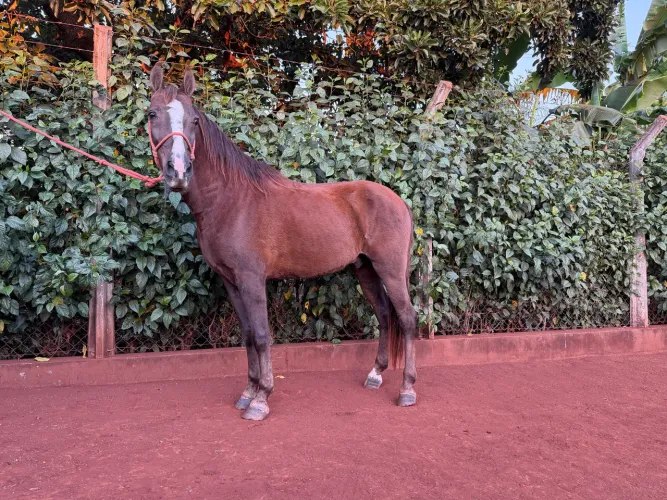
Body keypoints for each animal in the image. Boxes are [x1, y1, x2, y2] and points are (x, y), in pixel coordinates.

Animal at [147, 62, 417, 420]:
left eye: (193, 120)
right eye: (152, 114)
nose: (178, 171)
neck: (232, 200)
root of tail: (399, 201)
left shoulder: (251, 279)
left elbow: (262, 335)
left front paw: (261, 399)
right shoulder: (231, 281)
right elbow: (248, 335)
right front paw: (248, 392)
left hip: (390, 270)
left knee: (408, 318)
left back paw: (407, 389)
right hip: (366, 269)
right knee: (385, 314)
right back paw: (375, 374)